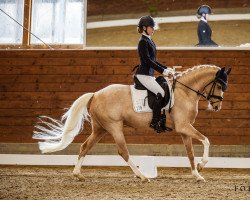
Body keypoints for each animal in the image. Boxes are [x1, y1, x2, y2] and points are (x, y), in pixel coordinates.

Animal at [32, 65, 230, 182]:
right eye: (220, 85)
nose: (217, 106)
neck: (184, 91)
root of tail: (95, 94)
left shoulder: (183, 130)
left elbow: (190, 153)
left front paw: (197, 174)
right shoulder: (184, 126)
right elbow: (206, 140)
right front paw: (203, 165)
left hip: (100, 129)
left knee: (85, 146)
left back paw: (77, 174)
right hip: (114, 127)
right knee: (123, 151)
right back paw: (142, 176)